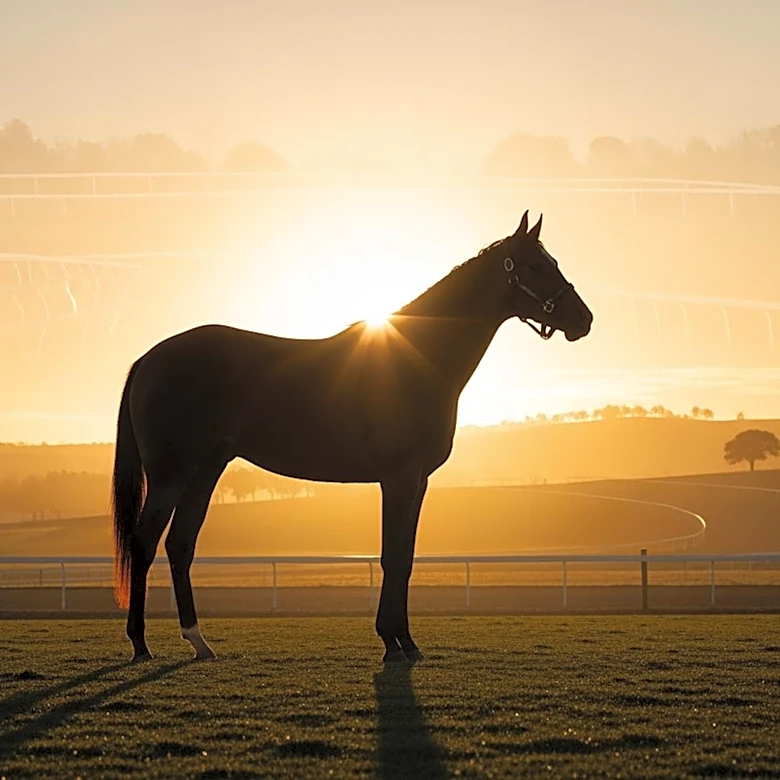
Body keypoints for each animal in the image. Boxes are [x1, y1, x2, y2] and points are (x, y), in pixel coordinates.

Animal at [111, 210, 593, 663]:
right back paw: (140, 643)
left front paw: (404, 641)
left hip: (206, 469)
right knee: (144, 542)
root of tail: (148, 359)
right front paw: (394, 642)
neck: (417, 357)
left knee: (180, 544)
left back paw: (199, 642)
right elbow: (392, 556)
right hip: (172, 475)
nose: (583, 320)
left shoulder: (417, 482)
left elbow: (405, 558)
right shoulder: (398, 478)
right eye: (533, 265)